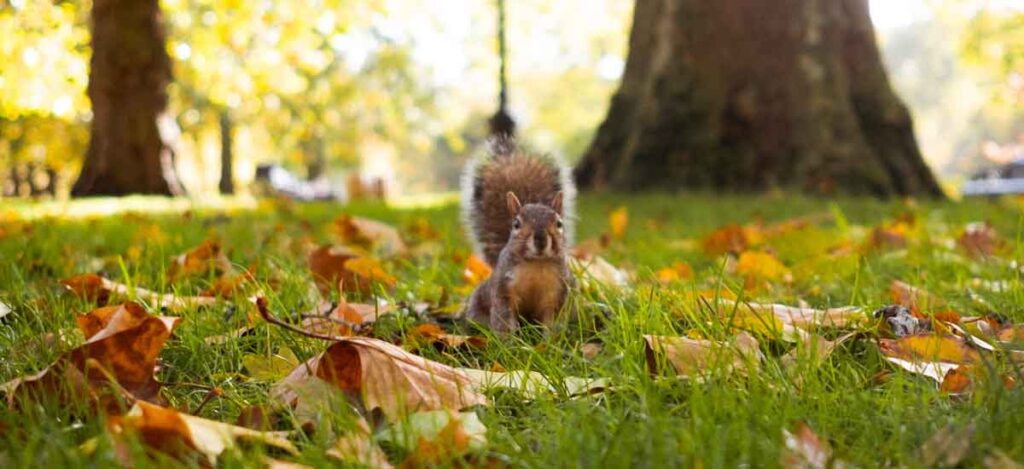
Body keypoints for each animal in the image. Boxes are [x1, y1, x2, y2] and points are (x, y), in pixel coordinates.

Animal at [462, 137, 577, 331]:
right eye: (516, 224)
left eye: (559, 223)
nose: (540, 240)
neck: (536, 264)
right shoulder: (503, 290)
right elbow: (504, 319)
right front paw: (509, 339)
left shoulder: (557, 292)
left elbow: (552, 322)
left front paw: (551, 339)